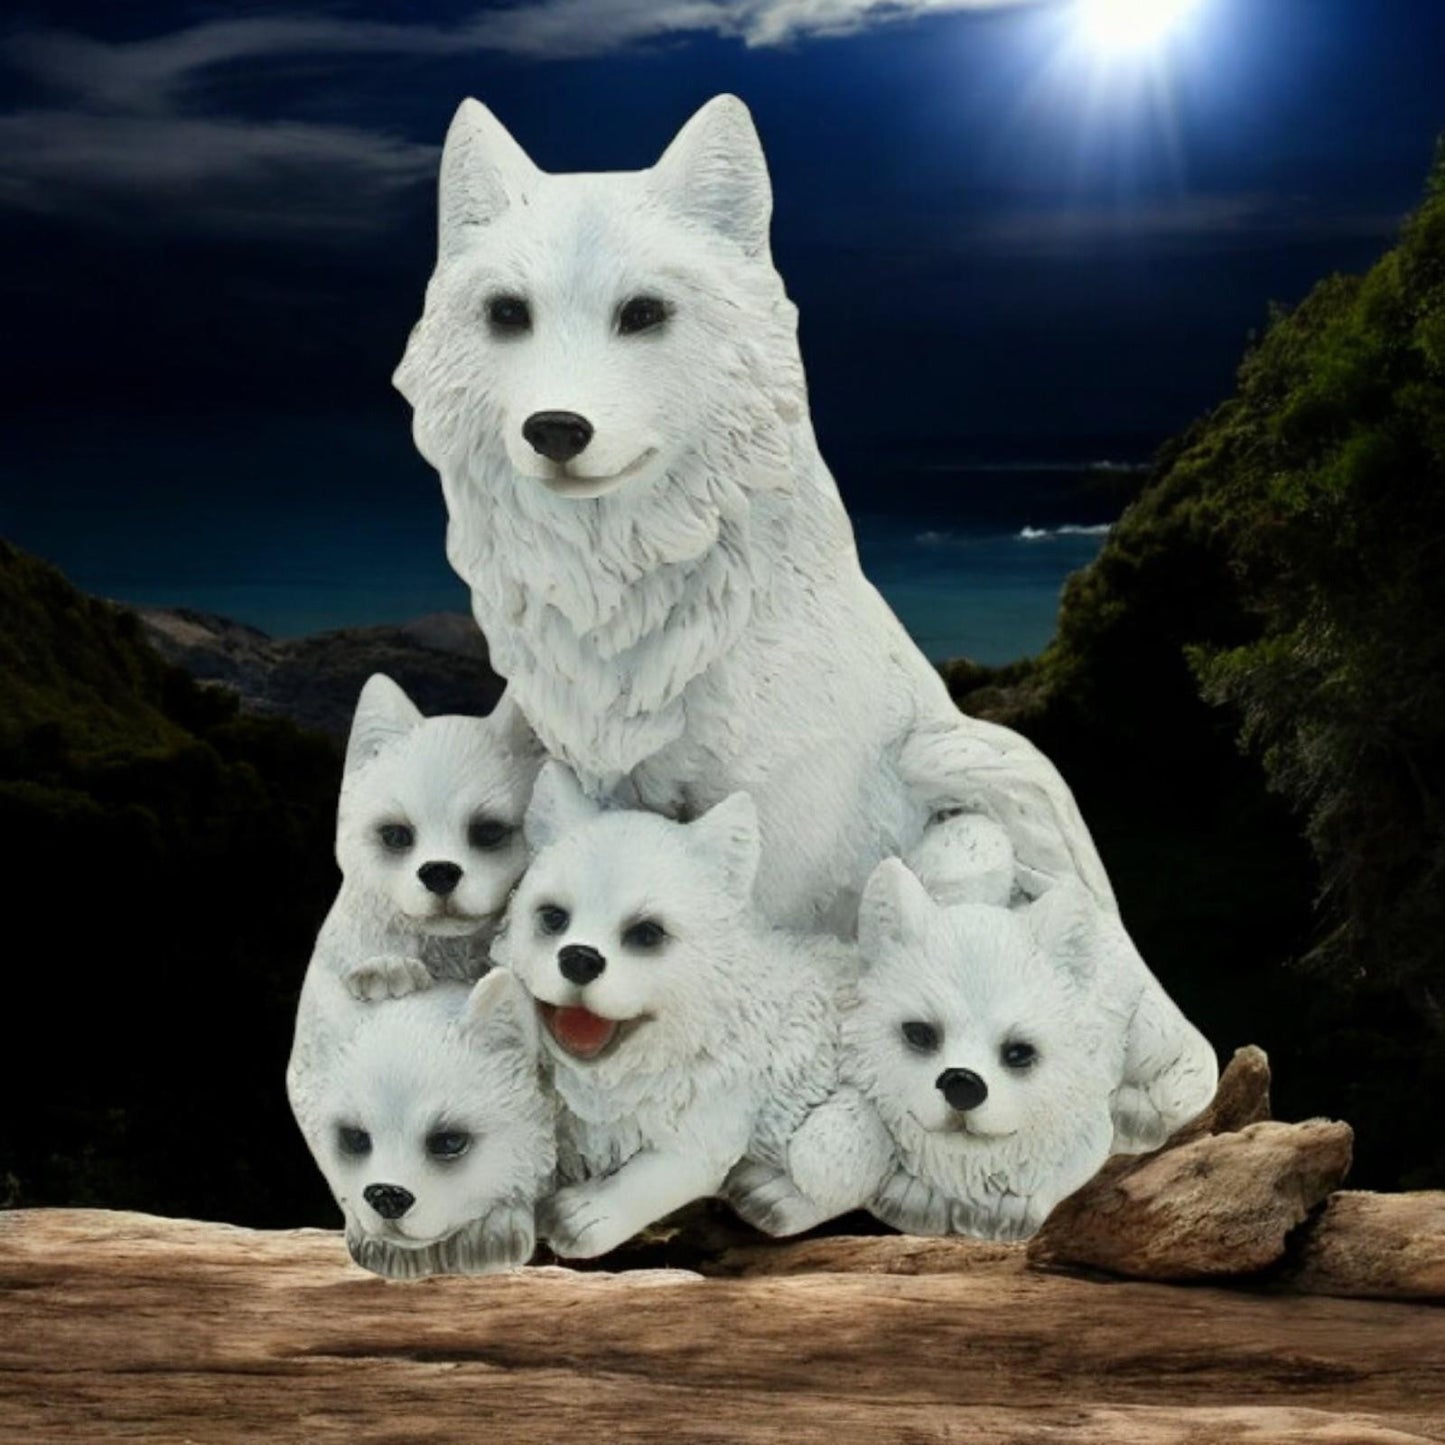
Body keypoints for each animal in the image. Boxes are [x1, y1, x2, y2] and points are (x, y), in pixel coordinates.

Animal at [491, 763, 872, 1259]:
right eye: (553, 918)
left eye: (647, 934)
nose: (579, 958)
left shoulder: (708, 1134)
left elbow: (651, 1176)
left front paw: (587, 1215)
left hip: (825, 1137)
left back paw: (775, 1197)